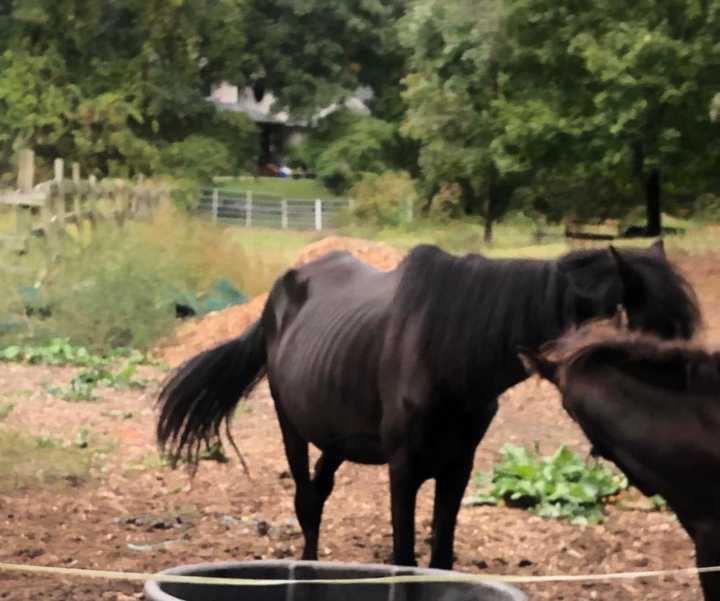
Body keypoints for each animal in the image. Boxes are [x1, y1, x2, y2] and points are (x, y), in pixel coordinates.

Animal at [156, 239, 696, 568]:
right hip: (293, 426)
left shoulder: (457, 467)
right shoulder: (404, 468)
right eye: (653, 348)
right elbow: (404, 557)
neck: (450, 351)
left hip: (338, 436)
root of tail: (280, 291)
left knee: (320, 492)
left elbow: (441, 557)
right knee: (306, 502)